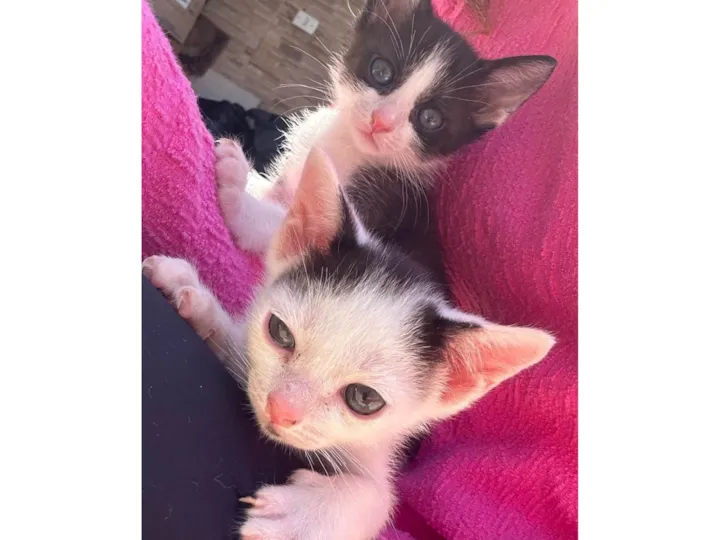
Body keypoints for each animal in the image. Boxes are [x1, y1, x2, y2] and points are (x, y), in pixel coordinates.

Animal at [142, 148, 555, 540]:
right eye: (279, 332)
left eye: (364, 399)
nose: (280, 409)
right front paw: (194, 300)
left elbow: (377, 497)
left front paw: (300, 516)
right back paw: (236, 190)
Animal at [216, 0, 557, 253]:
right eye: (381, 71)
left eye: (431, 118)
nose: (382, 121)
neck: (344, 145)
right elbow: (275, 192)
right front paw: (250, 180)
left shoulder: (380, 203)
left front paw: (237, 194)